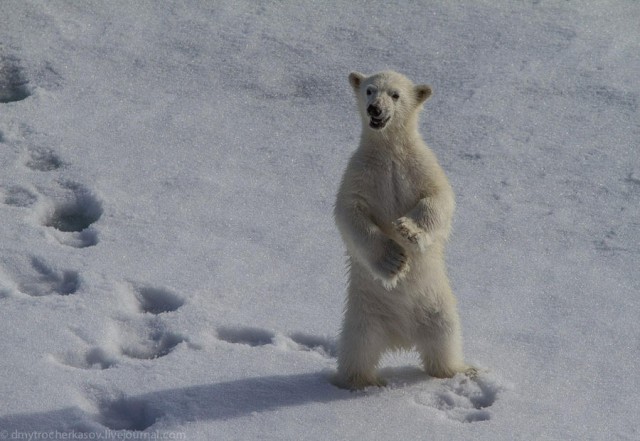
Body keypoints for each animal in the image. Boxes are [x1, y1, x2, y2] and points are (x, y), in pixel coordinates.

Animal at [332, 69, 472, 388]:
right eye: (370, 90)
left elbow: (438, 198)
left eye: (395, 94)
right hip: (364, 316)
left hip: (439, 308)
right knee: (357, 350)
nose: (375, 110)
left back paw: (458, 371)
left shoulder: (419, 166)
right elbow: (350, 213)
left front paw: (409, 231)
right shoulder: (360, 173)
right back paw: (361, 382)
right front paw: (394, 261)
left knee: (445, 340)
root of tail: (401, 337)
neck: (389, 150)